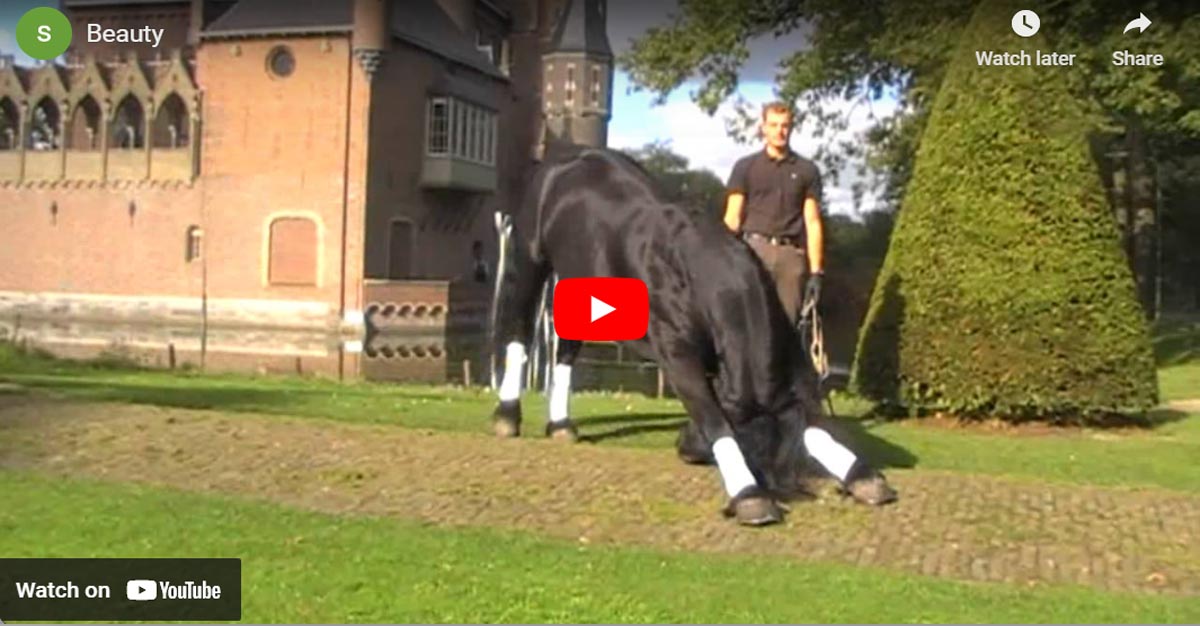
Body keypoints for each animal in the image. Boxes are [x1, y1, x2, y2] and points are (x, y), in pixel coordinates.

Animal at [492, 143, 897, 522]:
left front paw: (860, 474)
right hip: (530, 261)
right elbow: (712, 416)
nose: (682, 447)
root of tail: (562, 159)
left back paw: (560, 423)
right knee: (519, 329)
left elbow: (812, 426)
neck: (695, 270)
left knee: (567, 347)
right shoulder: (678, 356)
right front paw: (748, 494)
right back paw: (507, 415)